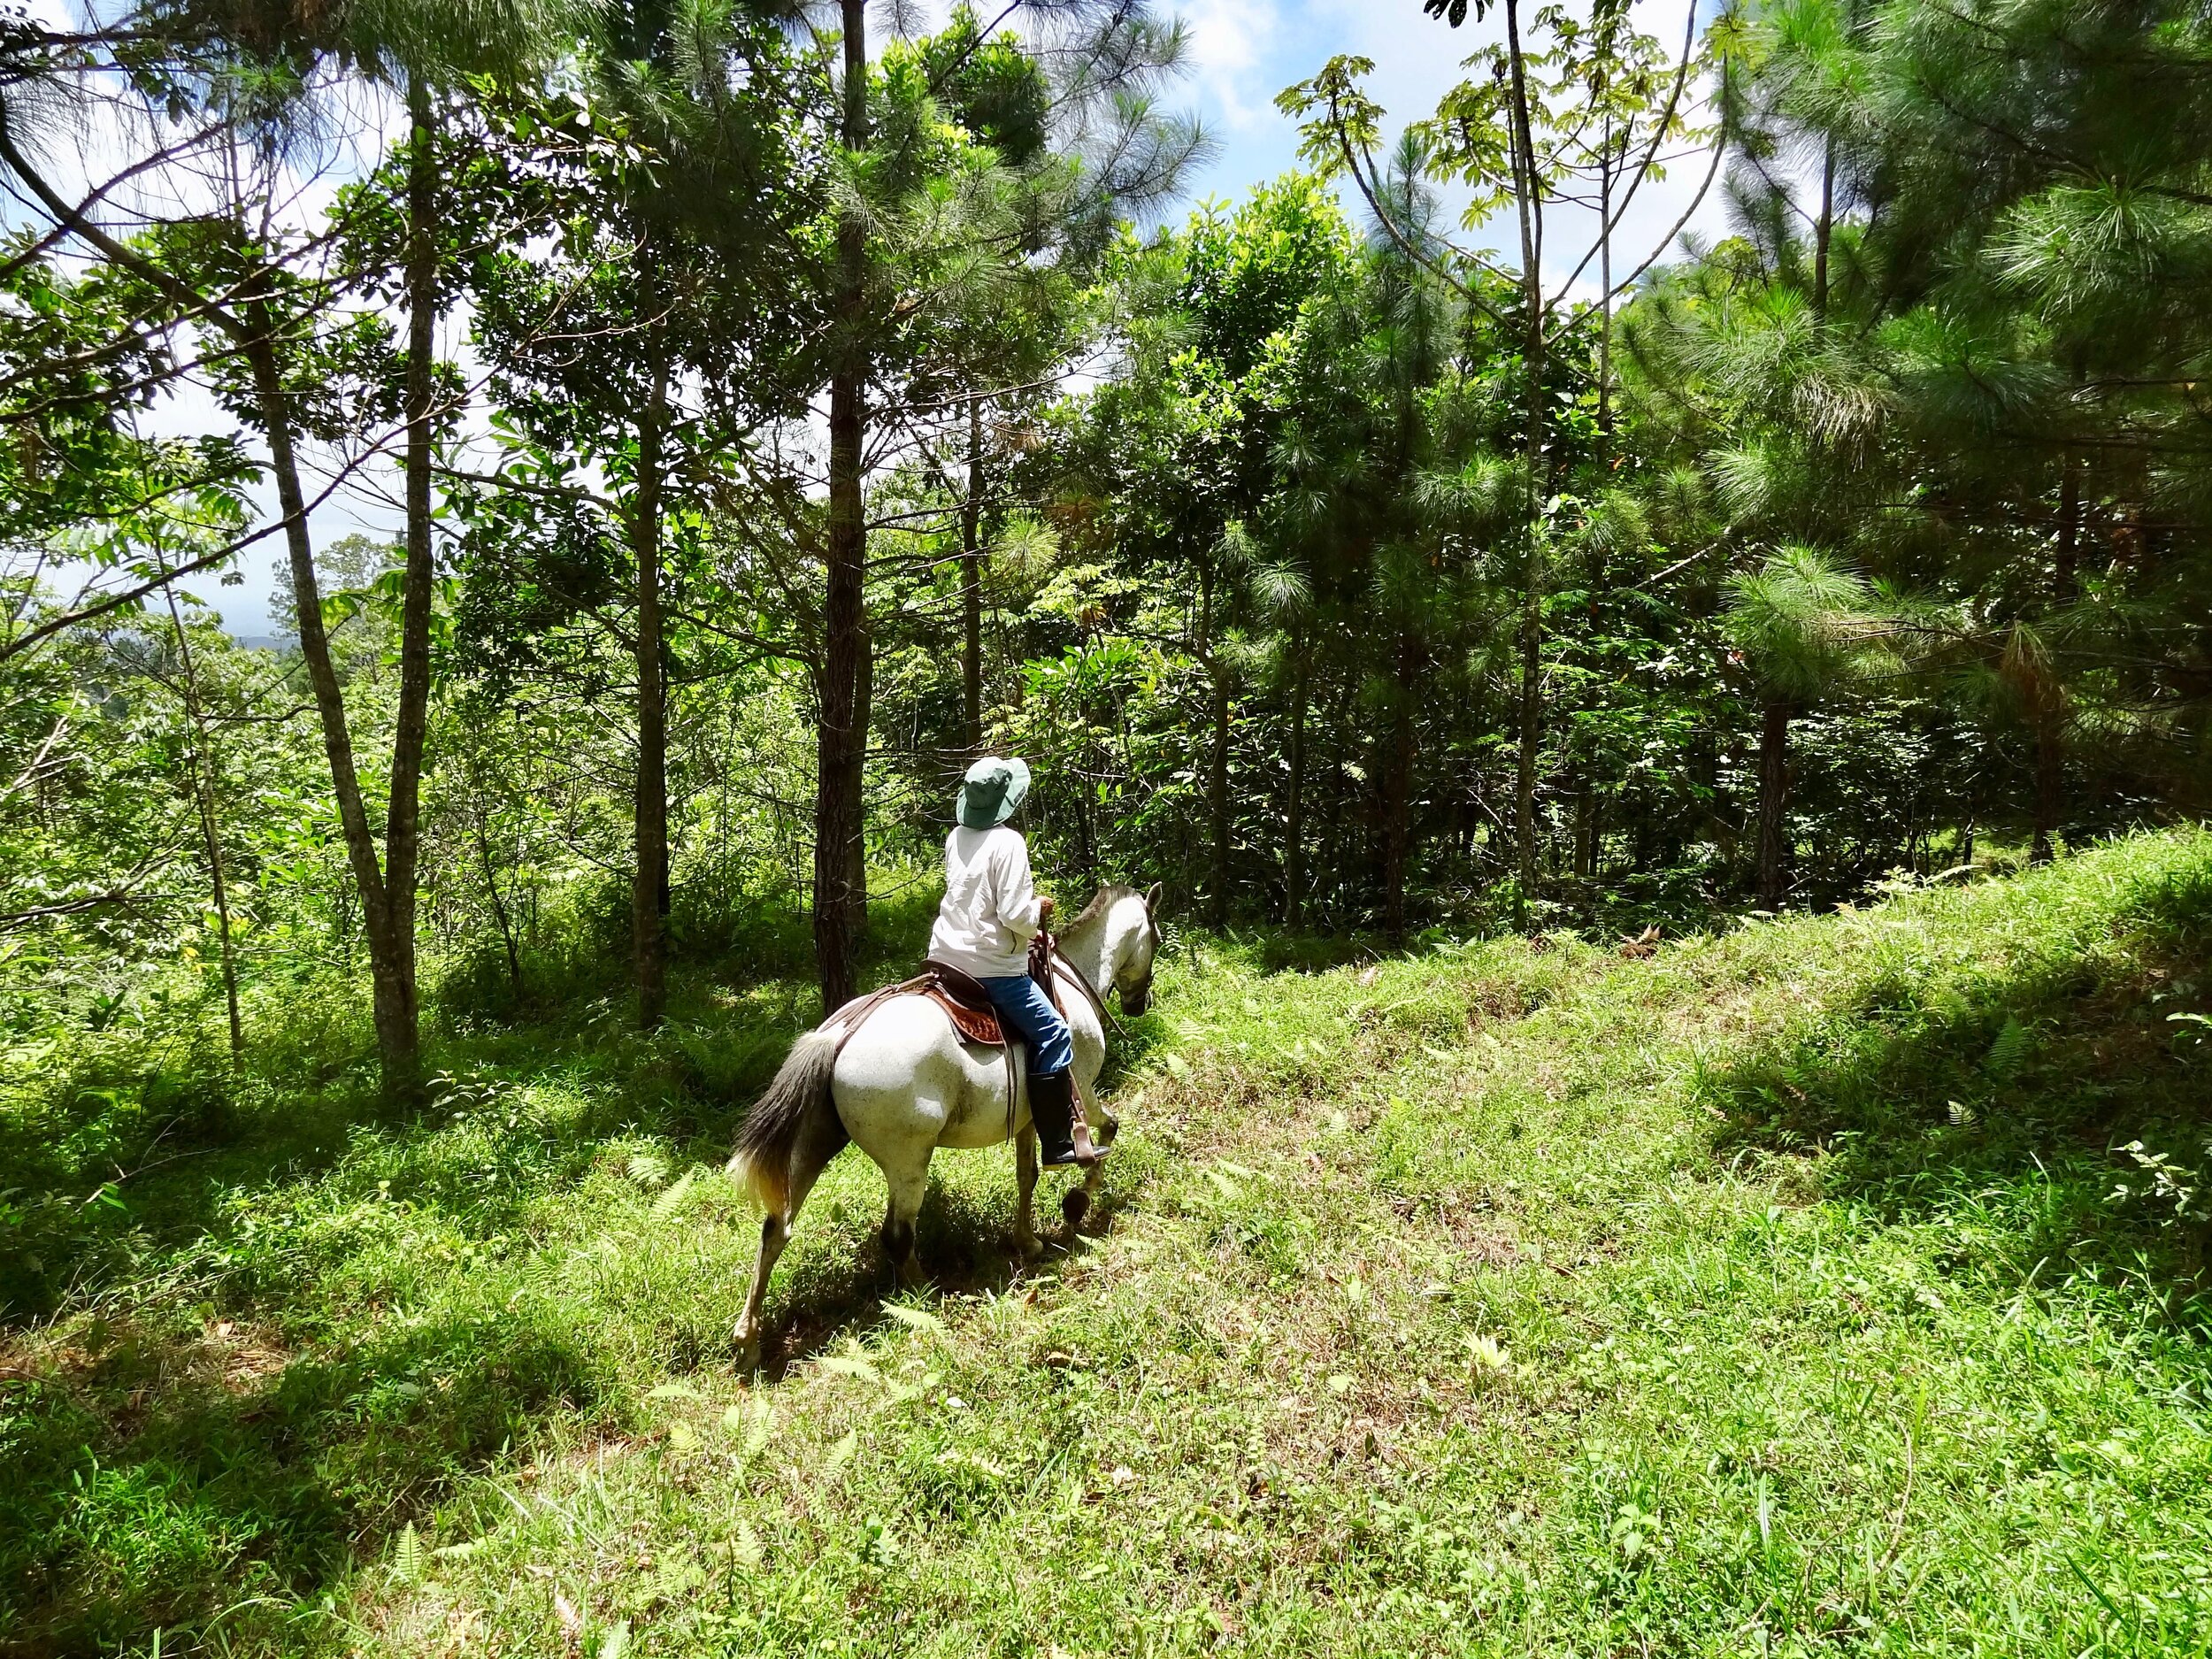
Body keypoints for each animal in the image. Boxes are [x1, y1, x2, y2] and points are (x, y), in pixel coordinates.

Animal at [730, 889, 1177, 1371]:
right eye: (1156, 938)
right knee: (896, 1233)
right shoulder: (1083, 1092)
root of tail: (838, 1036)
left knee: (776, 1229)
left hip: (815, 1146)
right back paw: (923, 1296)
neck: (1069, 980)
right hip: (909, 1160)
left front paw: (1027, 1241)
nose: (1141, 1002)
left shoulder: (1029, 1119)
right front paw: (1077, 1202)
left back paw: (748, 1340)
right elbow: (1108, 1130)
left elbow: (1027, 1176)